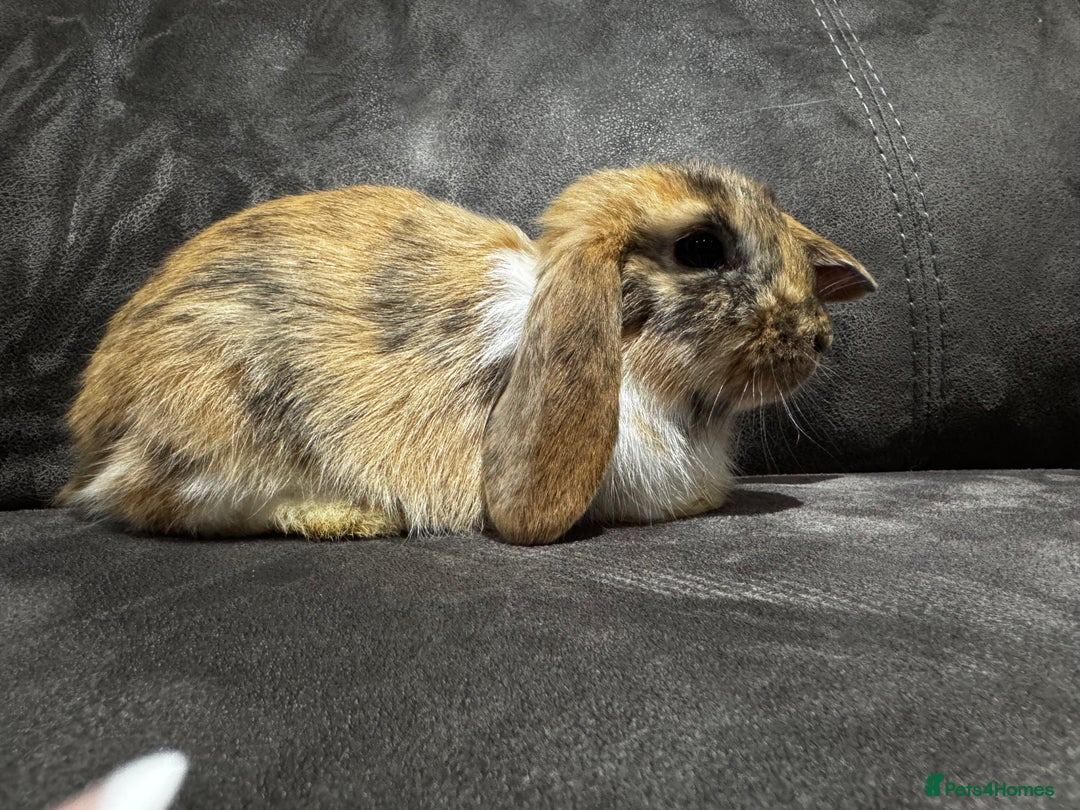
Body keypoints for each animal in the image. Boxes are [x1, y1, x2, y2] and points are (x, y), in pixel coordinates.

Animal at [59, 161, 876, 545]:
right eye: (701, 248)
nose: (818, 338)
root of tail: (99, 429)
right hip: (225, 412)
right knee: (162, 503)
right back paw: (352, 518)